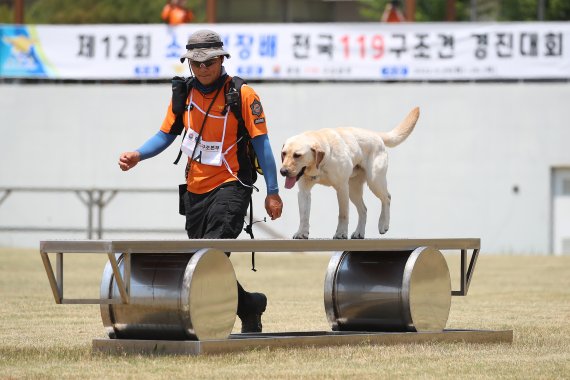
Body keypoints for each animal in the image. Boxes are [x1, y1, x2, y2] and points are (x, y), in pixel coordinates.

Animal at [280, 107, 418, 239]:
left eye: (297, 155)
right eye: (284, 153)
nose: (282, 171)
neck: (321, 163)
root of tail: (375, 134)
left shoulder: (341, 188)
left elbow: (343, 214)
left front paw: (341, 233)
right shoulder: (304, 192)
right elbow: (304, 216)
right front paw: (301, 233)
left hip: (374, 181)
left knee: (387, 198)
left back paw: (383, 224)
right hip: (353, 190)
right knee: (364, 209)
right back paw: (359, 233)